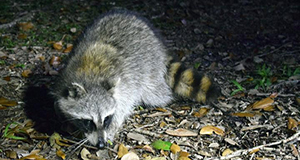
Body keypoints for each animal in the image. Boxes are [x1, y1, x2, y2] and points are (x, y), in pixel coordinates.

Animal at [52, 10, 218, 148]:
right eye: (88, 121)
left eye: (106, 119)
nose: (101, 145)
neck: (91, 76)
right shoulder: (65, 77)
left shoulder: (127, 82)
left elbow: (124, 104)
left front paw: (112, 128)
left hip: (150, 69)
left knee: (156, 93)